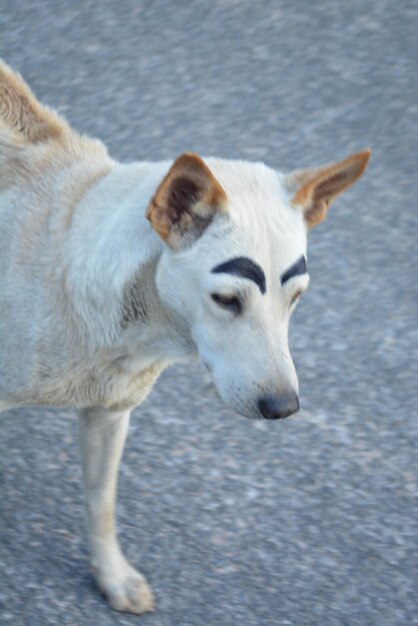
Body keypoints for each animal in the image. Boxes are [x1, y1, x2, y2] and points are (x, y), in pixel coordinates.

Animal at [0, 61, 372, 612]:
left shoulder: (111, 414)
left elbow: (101, 501)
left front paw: (112, 575)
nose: (284, 407)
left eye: (297, 297)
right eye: (227, 300)